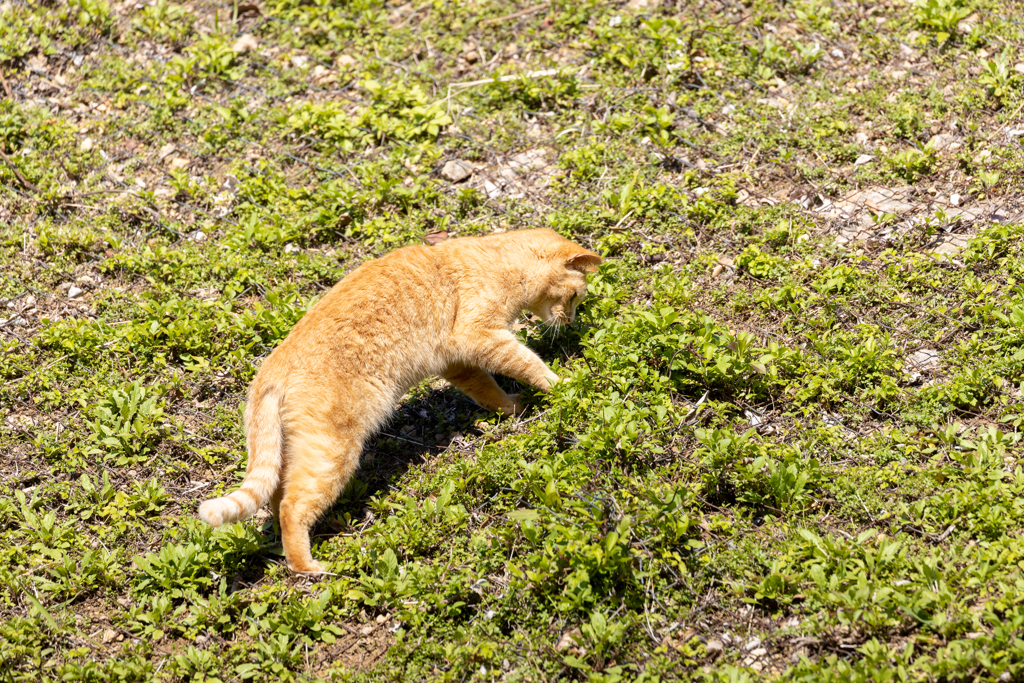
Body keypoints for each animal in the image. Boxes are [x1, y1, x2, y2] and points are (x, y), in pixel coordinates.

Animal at [198, 228, 598, 573]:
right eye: (576, 296)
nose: (571, 321)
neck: (499, 261)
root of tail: (272, 366)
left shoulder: (457, 363)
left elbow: (488, 391)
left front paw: (513, 407)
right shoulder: (477, 335)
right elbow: (528, 363)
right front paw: (562, 385)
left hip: (296, 449)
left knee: (276, 497)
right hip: (330, 451)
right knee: (291, 507)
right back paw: (307, 566)